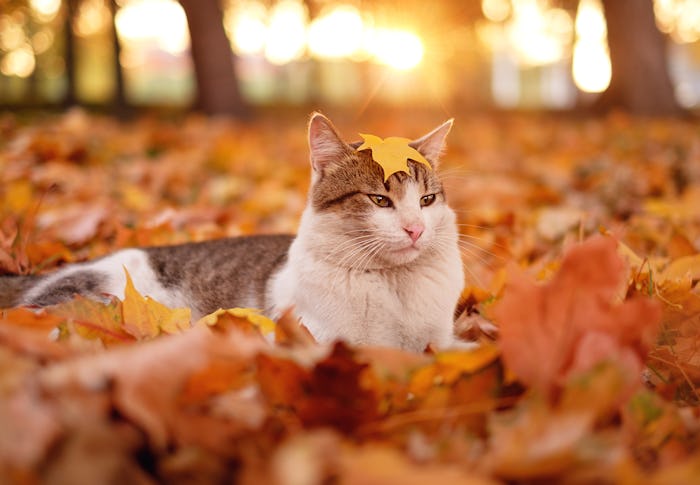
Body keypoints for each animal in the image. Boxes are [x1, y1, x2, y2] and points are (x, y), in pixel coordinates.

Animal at [4, 111, 470, 350]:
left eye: (427, 200)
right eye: (380, 201)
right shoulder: (314, 339)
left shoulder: (440, 340)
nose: (415, 230)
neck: (395, 286)